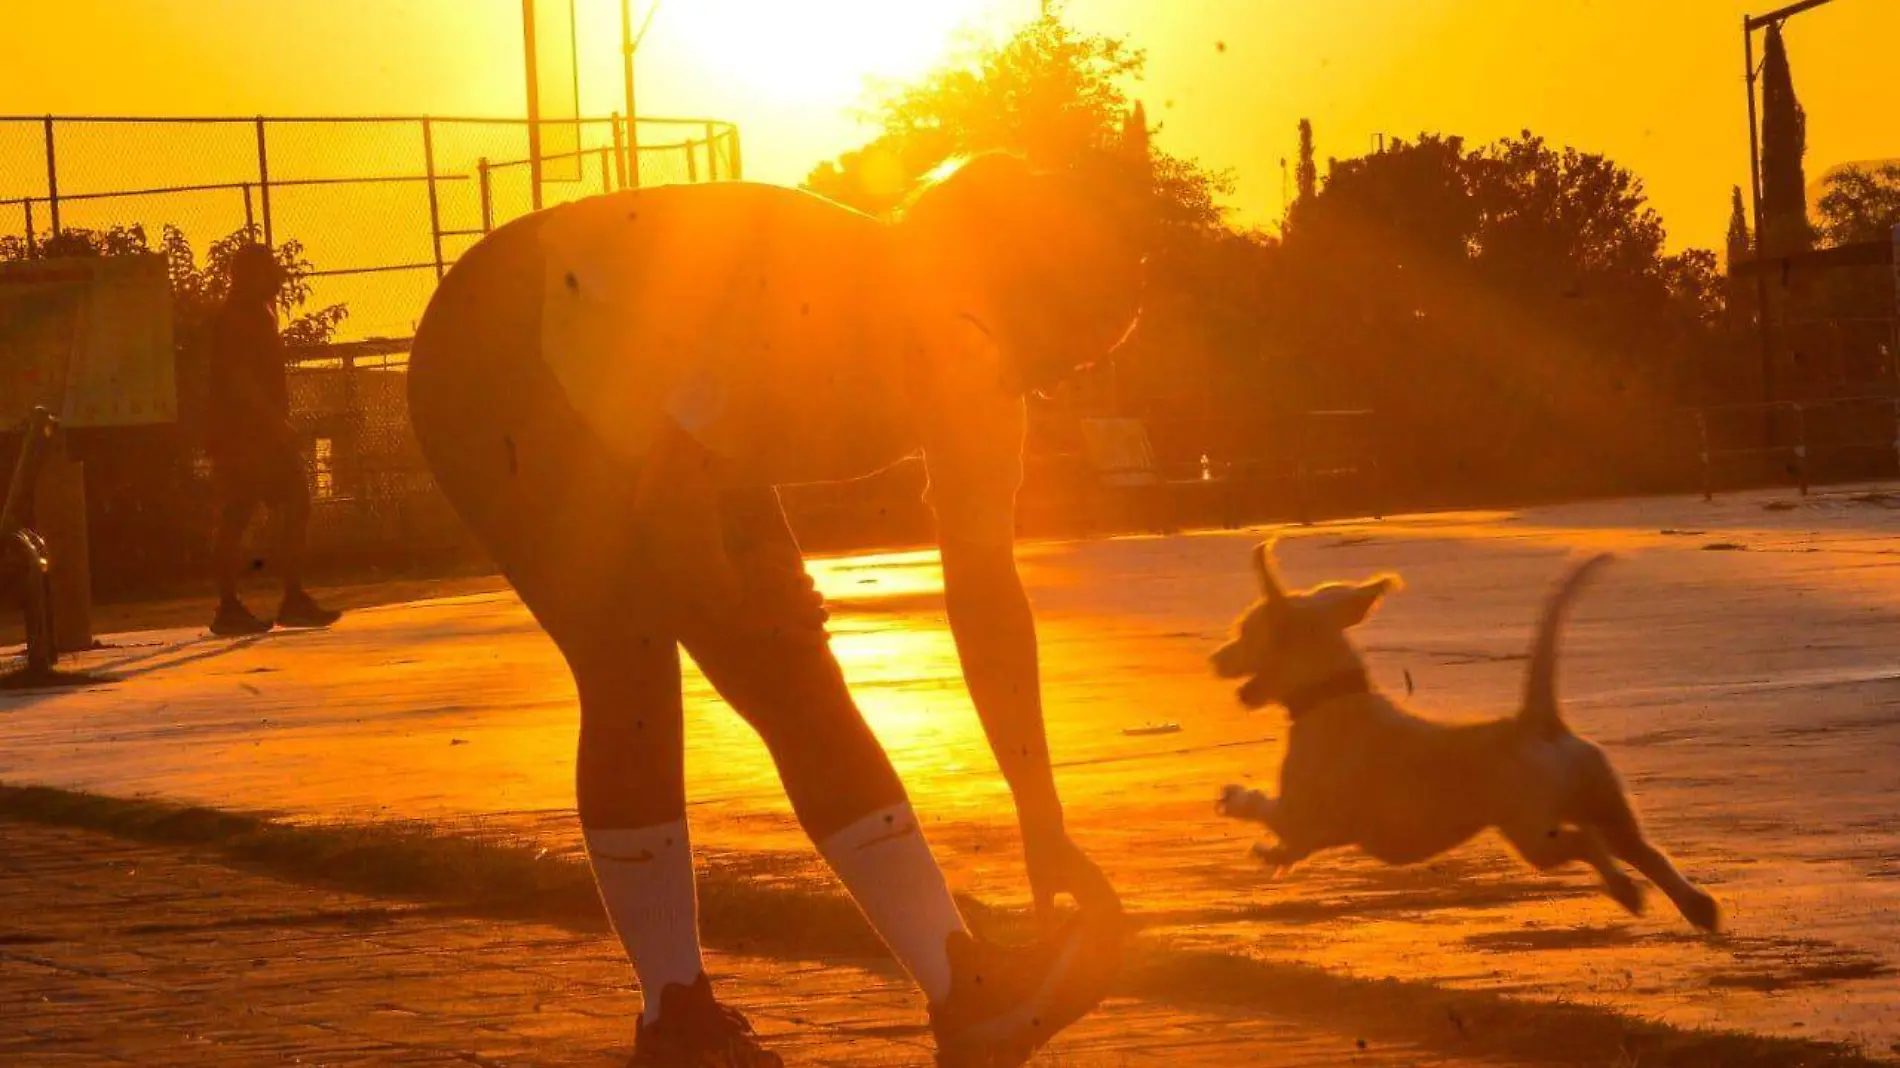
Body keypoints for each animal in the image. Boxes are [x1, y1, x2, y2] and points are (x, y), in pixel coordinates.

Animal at [1216, 539, 1725, 923]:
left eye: (1244, 632)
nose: (1214, 657)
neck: (1331, 697)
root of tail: (1536, 721)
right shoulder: (1311, 829)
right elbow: (1291, 846)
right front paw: (1273, 856)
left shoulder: (1304, 815)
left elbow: (1268, 811)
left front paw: (1236, 802)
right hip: (1606, 803)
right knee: (1644, 851)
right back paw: (1696, 906)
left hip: (1535, 833)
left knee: (1590, 843)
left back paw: (1626, 891)